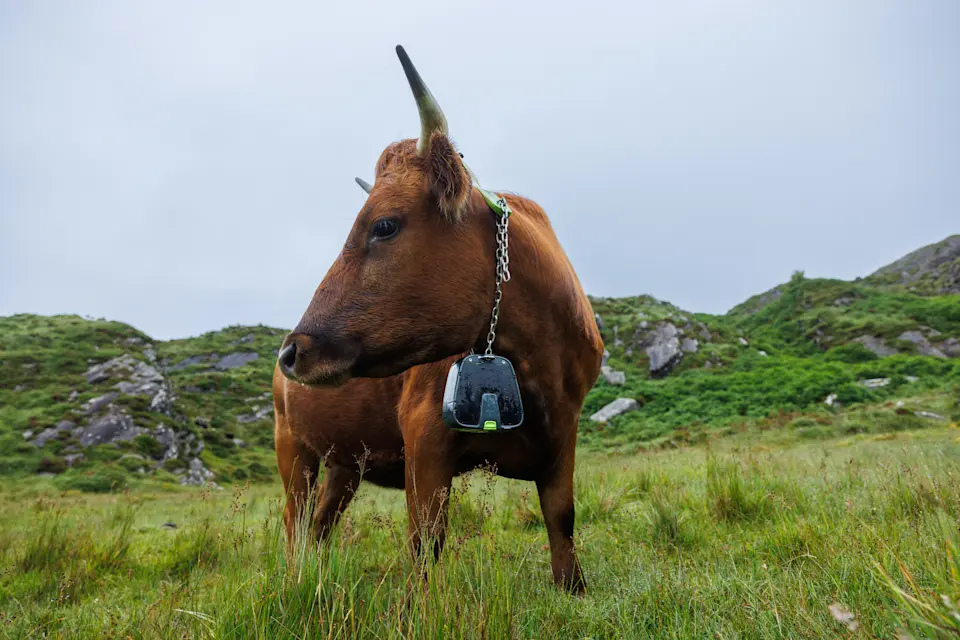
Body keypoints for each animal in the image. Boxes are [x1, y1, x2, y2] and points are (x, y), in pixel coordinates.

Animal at [272, 45, 604, 593]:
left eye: (385, 224)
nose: (293, 352)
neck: (537, 365)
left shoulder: (565, 431)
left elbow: (563, 518)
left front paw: (572, 589)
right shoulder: (425, 434)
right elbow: (426, 540)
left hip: (346, 461)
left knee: (321, 523)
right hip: (293, 448)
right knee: (295, 520)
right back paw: (296, 580)